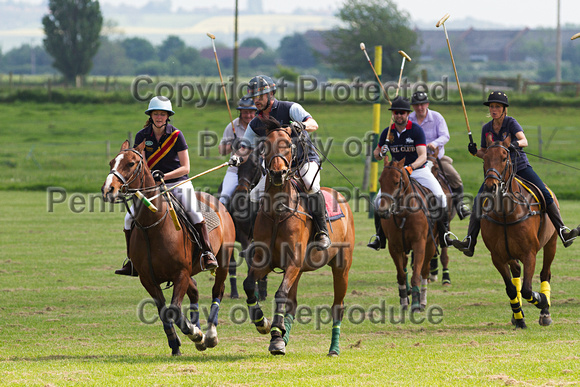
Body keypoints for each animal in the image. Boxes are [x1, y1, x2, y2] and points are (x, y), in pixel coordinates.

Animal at [102, 141, 236, 356]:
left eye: (131, 163)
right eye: (111, 162)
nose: (108, 189)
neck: (152, 225)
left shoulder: (180, 273)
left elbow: (173, 309)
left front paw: (195, 333)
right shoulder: (148, 278)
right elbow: (164, 311)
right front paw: (177, 343)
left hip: (223, 259)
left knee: (218, 290)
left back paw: (210, 335)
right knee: (195, 292)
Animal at [240, 119, 354, 358]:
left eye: (288, 146)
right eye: (265, 147)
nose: (278, 174)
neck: (277, 211)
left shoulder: (293, 261)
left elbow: (280, 293)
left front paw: (275, 332)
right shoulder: (265, 261)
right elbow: (249, 284)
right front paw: (264, 324)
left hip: (341, 268)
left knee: (337, 306)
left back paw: (334, 349)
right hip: (300, 270)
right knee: (292, 303)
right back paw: (282, 338)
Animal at [378, 158, 438, 312]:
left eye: (395, 182)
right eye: (380, 181)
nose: (383, 211)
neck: (404, 212)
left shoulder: (419, 244)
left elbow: (416, 274)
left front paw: (416, 304)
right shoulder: (394, 246)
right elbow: (400, 274)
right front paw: (404, 301)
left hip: (430, 245)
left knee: (424, 271)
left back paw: (422, 301)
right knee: (405, 267)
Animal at [480, 138, 556, 328]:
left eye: (504, 157)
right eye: (485, 158)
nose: (491, 187)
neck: (506, 213)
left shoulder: (529, 253)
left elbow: (527, 289)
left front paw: (542, 300)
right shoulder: (497, 257)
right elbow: (512, 289)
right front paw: (519, 318)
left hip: (551, 243)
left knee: (545, 273)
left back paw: (545, 312)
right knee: (516, 272)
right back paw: (517, 316)